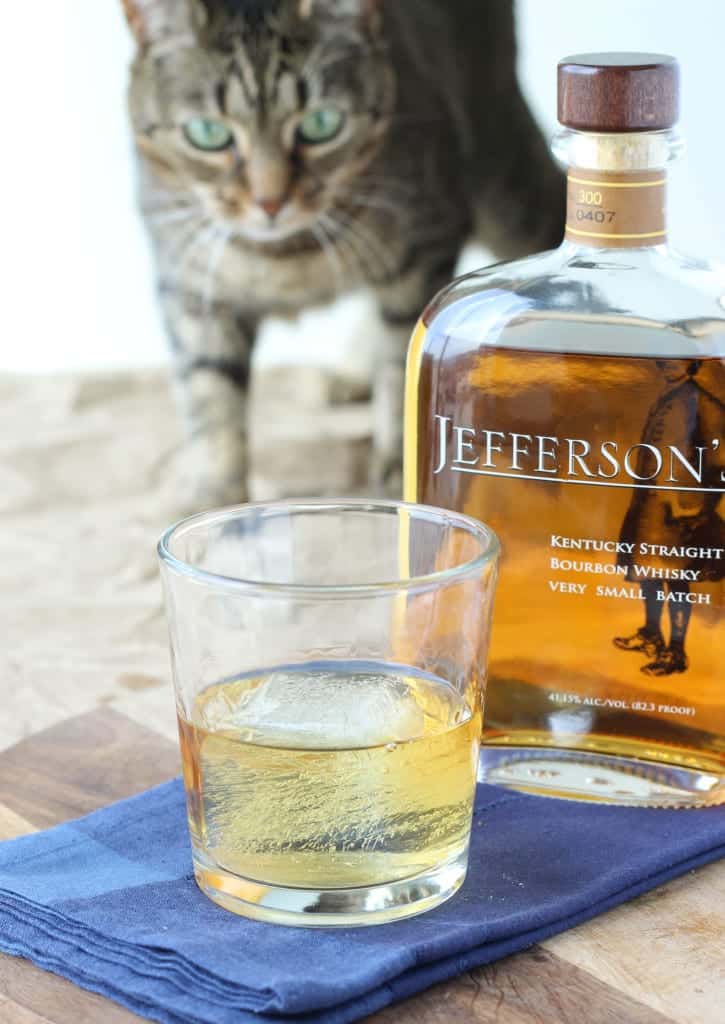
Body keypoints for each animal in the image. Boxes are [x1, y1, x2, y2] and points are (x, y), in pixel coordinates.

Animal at [121, 0, 565, 503]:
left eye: (320, 125)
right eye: (208, 134)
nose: (269, 201)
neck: (287, 256)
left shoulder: (426, 244)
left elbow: (399, 363)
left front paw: (397, 465)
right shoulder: (191, 288)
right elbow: (210, 396)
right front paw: (216, 495)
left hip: (503, 171)